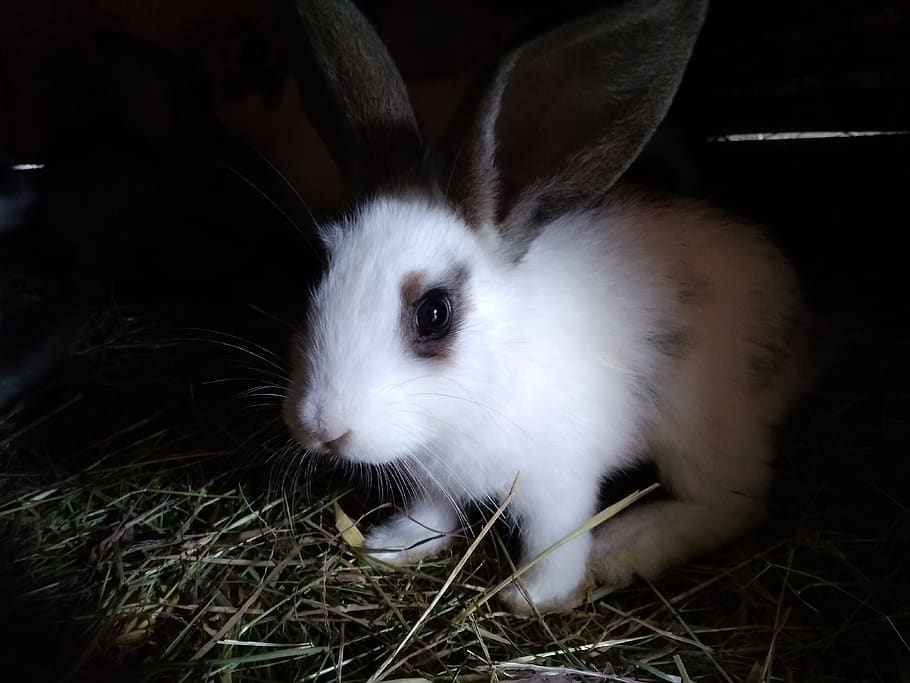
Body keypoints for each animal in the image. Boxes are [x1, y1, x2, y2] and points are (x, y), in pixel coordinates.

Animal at [280, 0, 813, 614]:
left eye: (434, 313)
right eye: (316, 276)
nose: (322, 428)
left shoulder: (560, 483)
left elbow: (555, 543)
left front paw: (529, 596)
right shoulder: (439, 480)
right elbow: (433, 513)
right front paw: (389, 545)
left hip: (701, 430)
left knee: (731, 504)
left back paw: (626, 544)